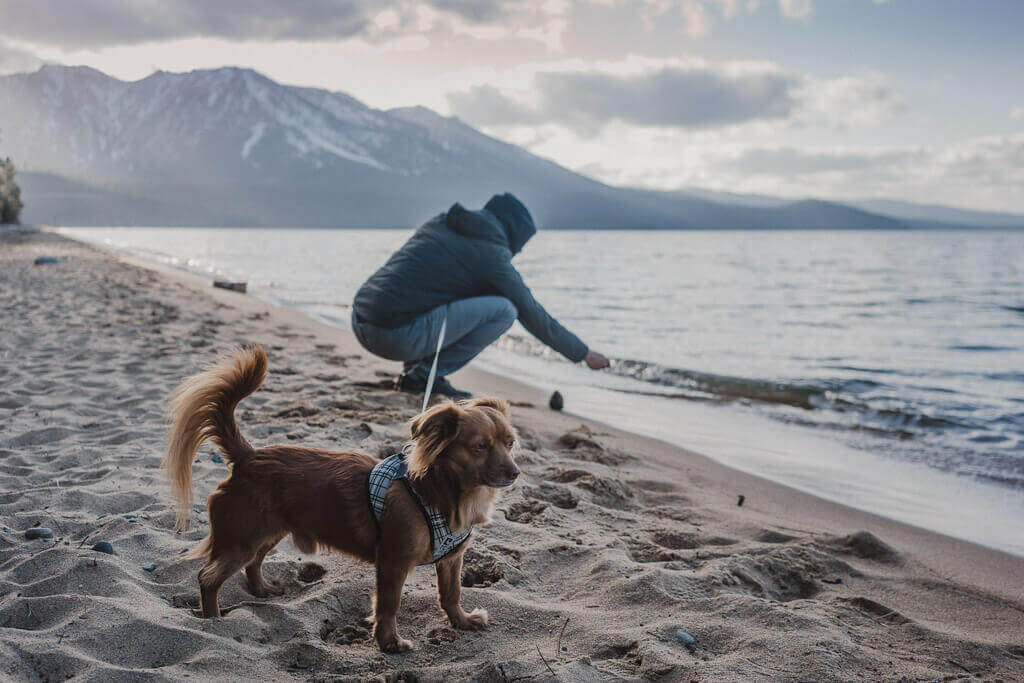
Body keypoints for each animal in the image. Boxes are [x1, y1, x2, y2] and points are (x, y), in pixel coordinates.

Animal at [166, 348, 520, 651]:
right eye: (480, 447)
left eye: (510, 443)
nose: (515, 472)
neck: (441, 491)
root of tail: (248, 457)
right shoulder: (393, 562)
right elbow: (389, 604)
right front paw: (389, 643)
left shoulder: (451, 559)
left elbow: (451, 594)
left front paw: (462, 621)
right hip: (243, 538)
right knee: (208, 577)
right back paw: (213, 620)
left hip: (269, 531)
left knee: (254, 562)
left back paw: (262, 590)